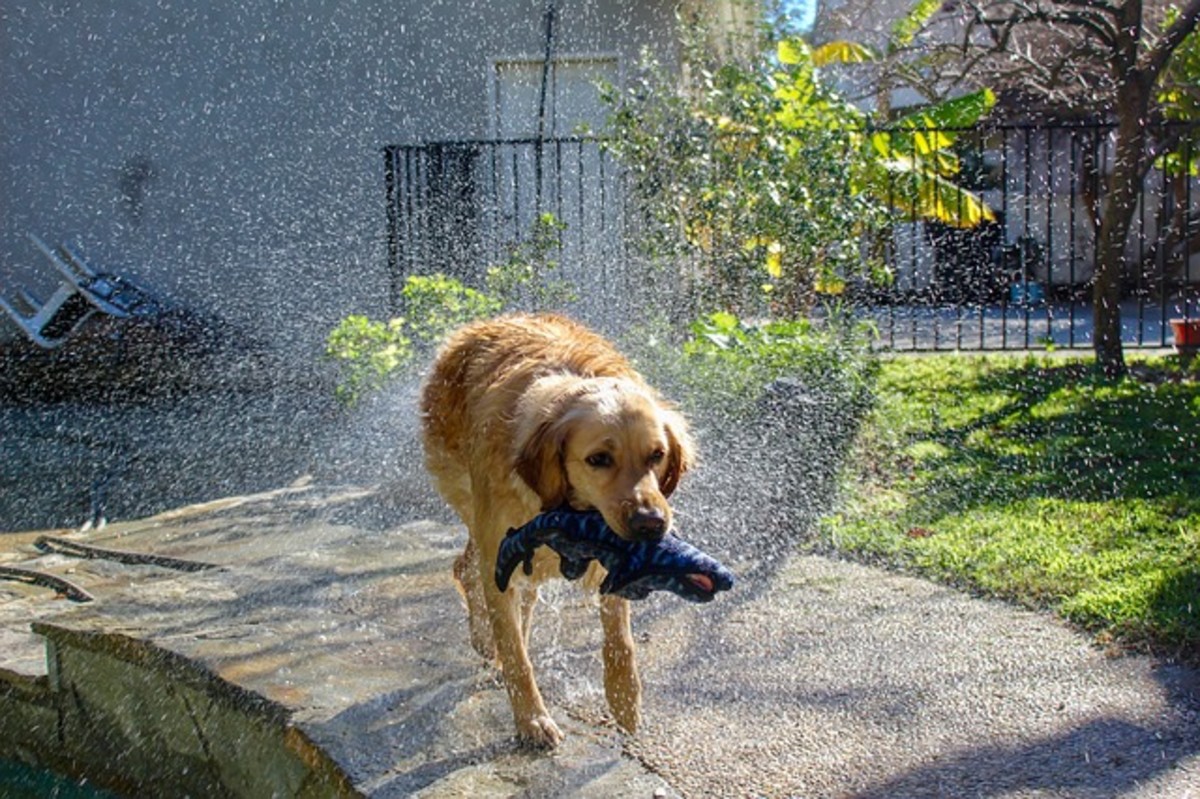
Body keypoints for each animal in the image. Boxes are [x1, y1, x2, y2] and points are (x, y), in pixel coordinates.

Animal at [420, 311, 696, 748]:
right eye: (598, 459)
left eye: (657, 455)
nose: (651, 524)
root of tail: (476, 326)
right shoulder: (500, 552)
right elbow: (516, 654)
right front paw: (532, 720)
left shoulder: (610, 557)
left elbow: (620, 639)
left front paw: (625, 700)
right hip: (471, 503)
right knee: (468, 571)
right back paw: (484, 637)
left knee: (506, 589)